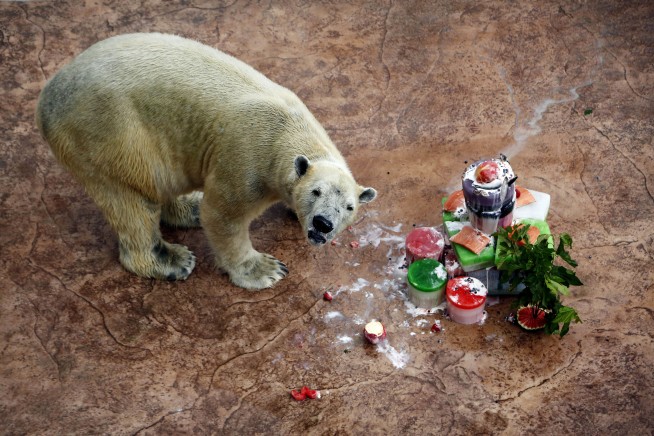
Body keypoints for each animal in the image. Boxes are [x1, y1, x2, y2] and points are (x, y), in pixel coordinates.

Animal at [36, 33, 376, 290]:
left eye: (349, 207)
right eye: (315, 192)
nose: (322, 223)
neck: (288, 128)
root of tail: (46, 98)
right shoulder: (248, 157)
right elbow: (223, 215)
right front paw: (266, 269)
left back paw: (190, 206)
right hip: (109, 135)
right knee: (132, 198)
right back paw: (173, 260)